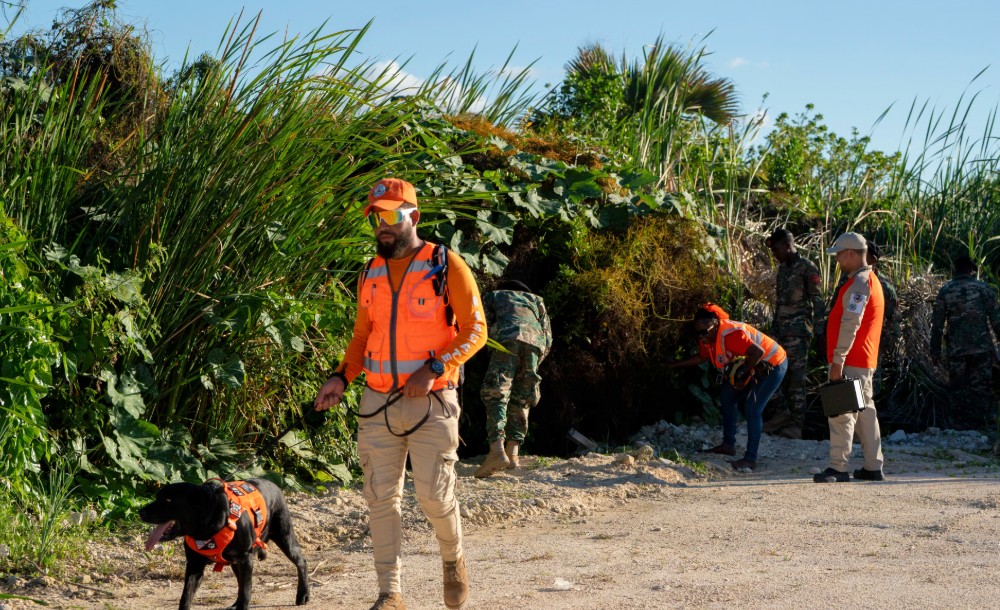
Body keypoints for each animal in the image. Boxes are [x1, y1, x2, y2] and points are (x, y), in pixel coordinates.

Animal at [138, 478, 308, 608]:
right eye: (157, 497)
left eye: (168, 500)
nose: (140, 512)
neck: (206, 527)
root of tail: (274, 484)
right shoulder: (194, 565)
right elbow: (185, 597)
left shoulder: (246, 558)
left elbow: (246, 590)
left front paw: (242, 606)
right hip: (235, 562)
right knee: (240, 582)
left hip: (284, 537)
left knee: (301, 562)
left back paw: (303, 594)